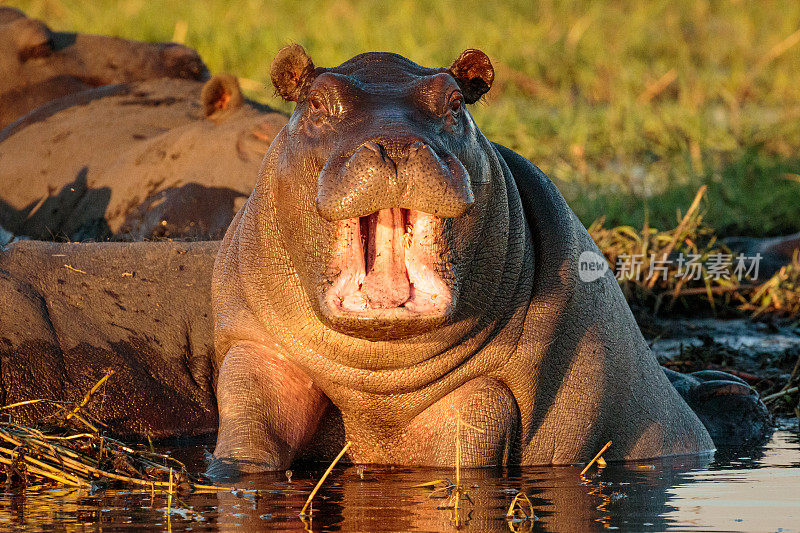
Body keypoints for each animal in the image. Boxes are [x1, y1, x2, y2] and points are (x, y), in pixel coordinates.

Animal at [206, 46, 720, 478]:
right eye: (315, 102)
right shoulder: (254, 350)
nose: (395, 144)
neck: (375, 377)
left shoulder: (481, 394)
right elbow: (250, 430)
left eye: (454, 103)